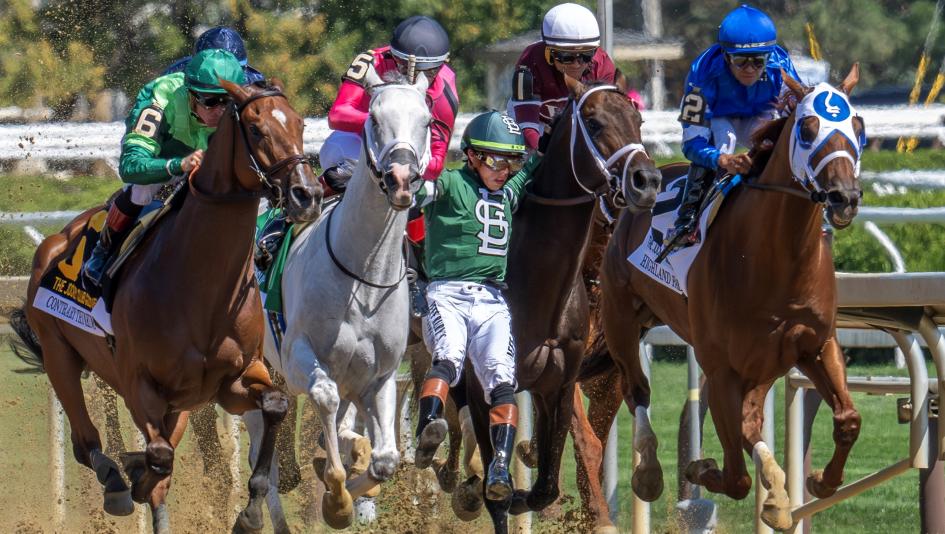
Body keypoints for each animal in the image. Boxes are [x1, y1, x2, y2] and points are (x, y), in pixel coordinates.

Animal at [9, 79, 323, 534]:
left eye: (300, 124)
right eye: (257, 129)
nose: (308, 194)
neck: (200, 287)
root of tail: (55, 241)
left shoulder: (233, 380)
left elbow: (276, 406)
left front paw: (248, 514)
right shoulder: (140, 385)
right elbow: (157, 459)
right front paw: (134, 474)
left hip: (180, 404)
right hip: (58, 356)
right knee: (87, 443)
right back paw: (116, 484)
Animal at [245, 68, 432, 531]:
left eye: (427, 122)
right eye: (374, 120)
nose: (401, 180)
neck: (362, 275)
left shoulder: (380, 374)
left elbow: (385, 459)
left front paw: (351, 491)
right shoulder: (299, 359)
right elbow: (326, 401)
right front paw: (337, 498)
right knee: (267, 462)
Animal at [456, 74, 660, 534]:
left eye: (639, 119)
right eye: (594, 122)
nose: (647, 180)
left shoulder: (565, 382)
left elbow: (552, 476)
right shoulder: (485, 386)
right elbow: (501, 491)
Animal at [577, 65, 865, 531]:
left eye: (857, 126)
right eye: (807, 128)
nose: (845, 197)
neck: (776, 258)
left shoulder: (816, 345)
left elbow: (848, 420)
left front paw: (821, 481)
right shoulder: (721, 366)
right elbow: (735, 477)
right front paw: (699, 469)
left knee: (748, 423)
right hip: (621, 321)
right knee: (637, 391)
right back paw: (649, 472)